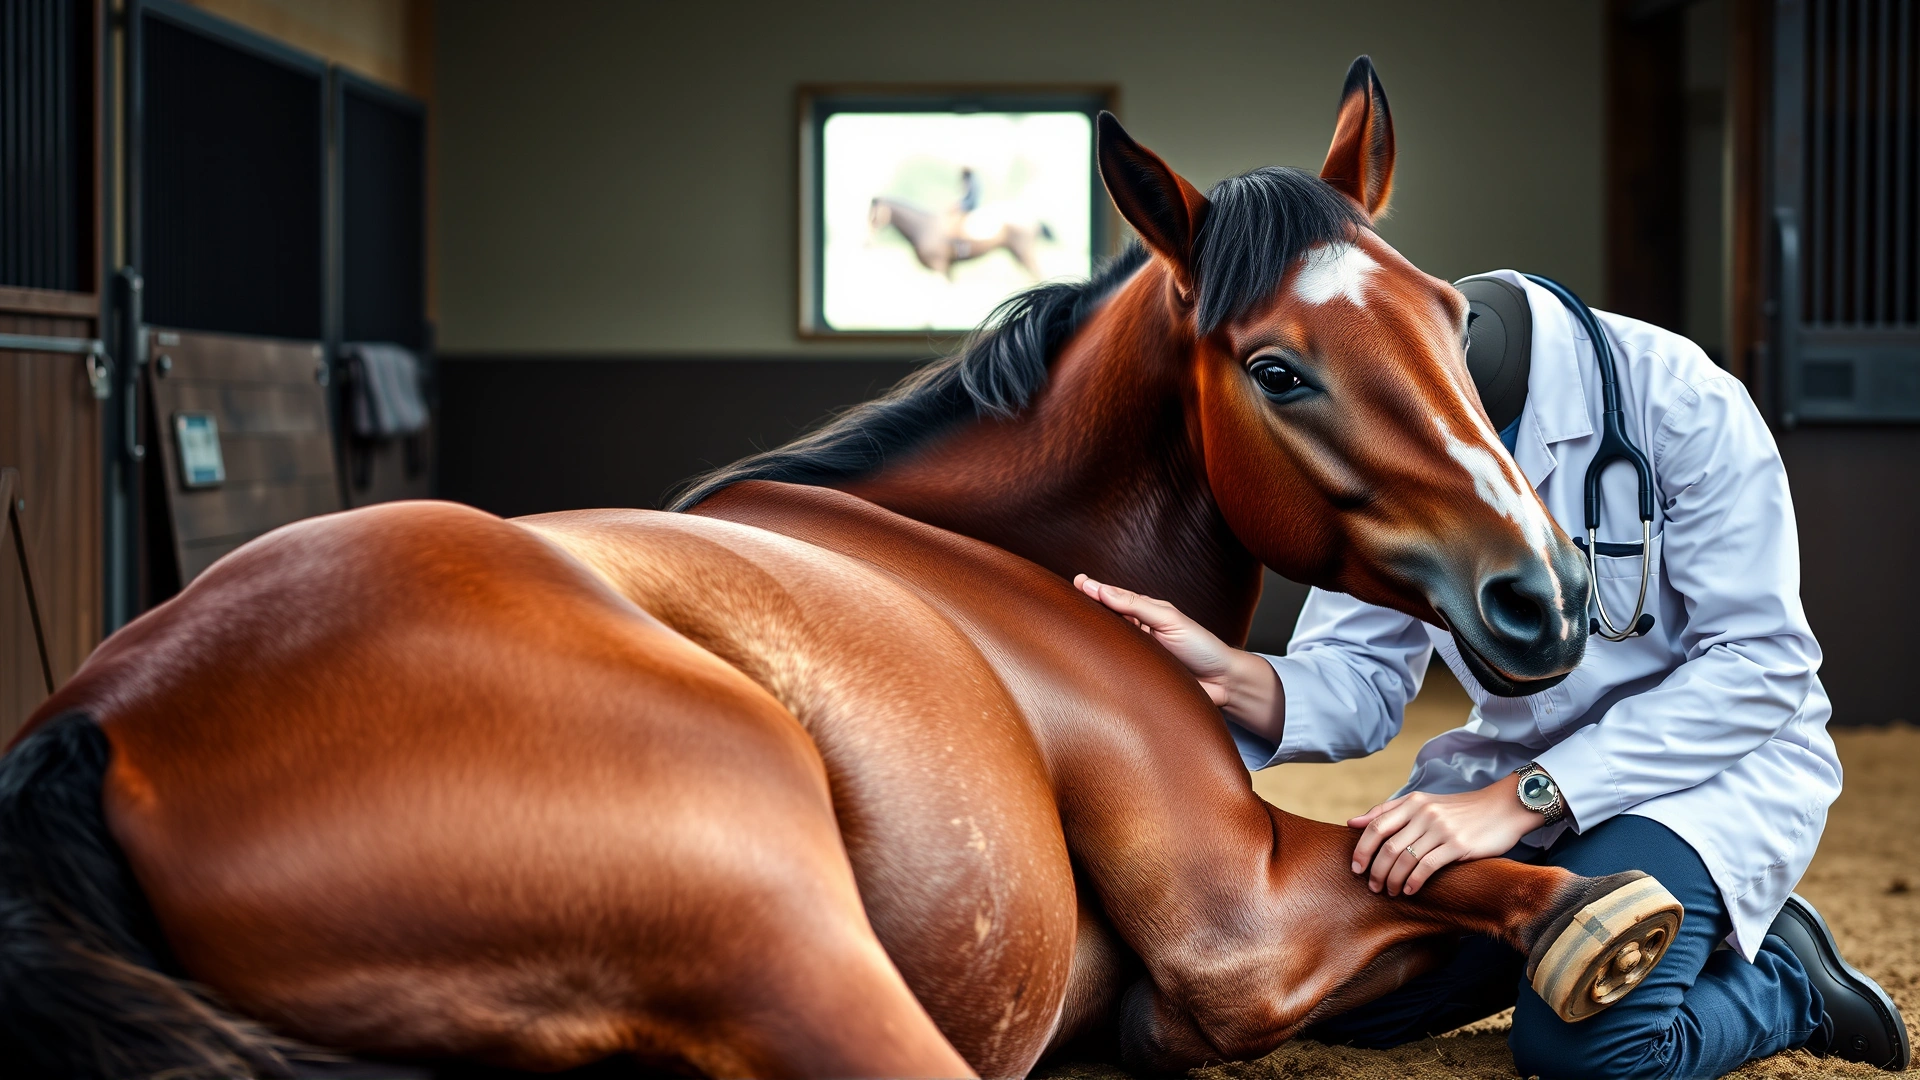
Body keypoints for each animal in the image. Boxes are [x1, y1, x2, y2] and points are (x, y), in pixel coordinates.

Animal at [869, 194, 1054, 278]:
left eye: (873, 216)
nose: (866, 241)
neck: (922, 228)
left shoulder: (939, 266)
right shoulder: (947, 268)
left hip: (1024, 253)